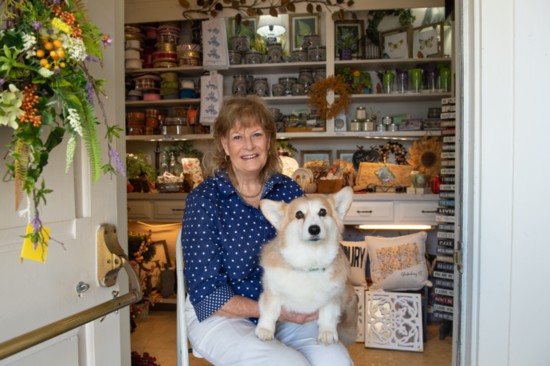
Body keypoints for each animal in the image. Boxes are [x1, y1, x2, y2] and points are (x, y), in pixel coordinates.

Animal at [258, 187, 360, 344]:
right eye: (299, 214)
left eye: (322, 212)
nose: (314, 229)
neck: (309, 262)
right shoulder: (272, 292)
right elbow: (270, 311)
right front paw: (265, 330)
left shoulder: (333, 297)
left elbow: (328, 315)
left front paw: (327, 332)